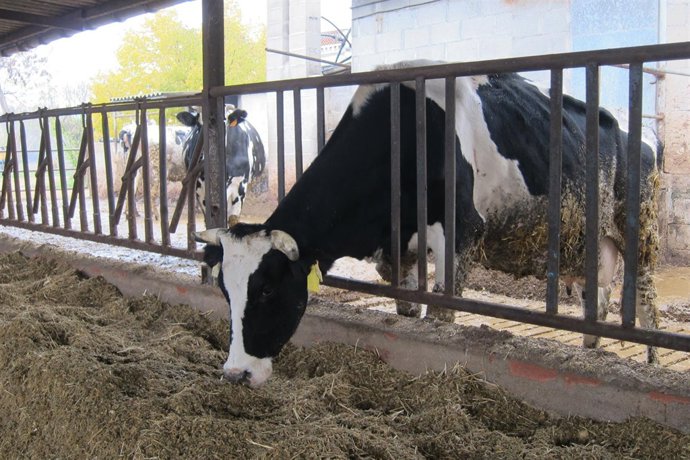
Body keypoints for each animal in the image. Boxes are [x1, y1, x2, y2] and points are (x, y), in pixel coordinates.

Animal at [193, 61, 660, 387]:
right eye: (225, 291)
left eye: (268, 290)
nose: (235, 374)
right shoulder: (398, 251)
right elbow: (407, 311)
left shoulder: (462, 233)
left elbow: (439, 319)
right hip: (590, 245)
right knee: (596, 300)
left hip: (641, 230)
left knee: (645, 302)